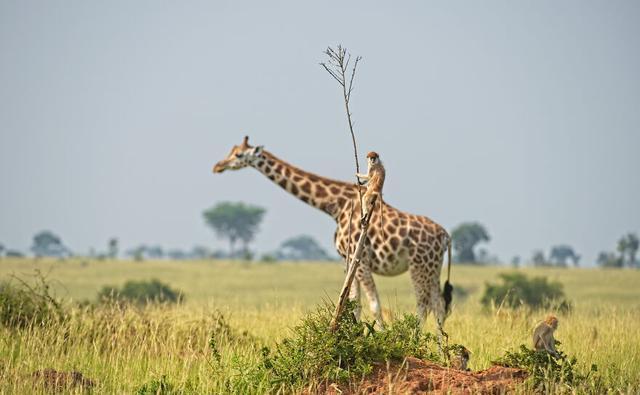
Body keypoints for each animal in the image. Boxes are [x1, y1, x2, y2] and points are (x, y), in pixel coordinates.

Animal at [212, 137, 452, 334]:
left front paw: (382, 337)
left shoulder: (359, 258)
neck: (335, 205)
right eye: (231, 151)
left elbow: (374, 304)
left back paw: (416, 341)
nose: (217, 166)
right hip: (433, 268)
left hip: (418, 266)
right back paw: (442, 349)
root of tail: (446, 236)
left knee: (423, 305)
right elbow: (354, 303)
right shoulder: (348, 260)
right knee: (439, 306)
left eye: (238, 155)